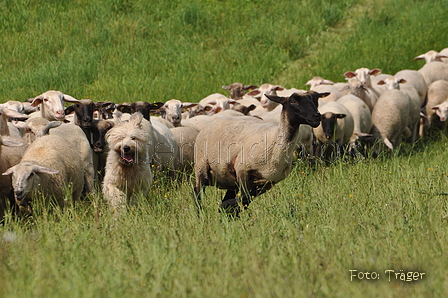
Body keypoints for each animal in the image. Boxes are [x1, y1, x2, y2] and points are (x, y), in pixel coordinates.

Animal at [192, 90, 326, 214]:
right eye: (293, 101)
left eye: (314, 100)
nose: (317, 116)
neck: (274, 142)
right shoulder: (242, 170)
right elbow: (244, 197)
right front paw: (224, 207)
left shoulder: (267, 183)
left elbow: (245, 199)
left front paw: (226, 209)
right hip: (201, 166)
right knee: (197, 193)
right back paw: (201, 215)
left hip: (230, 180)